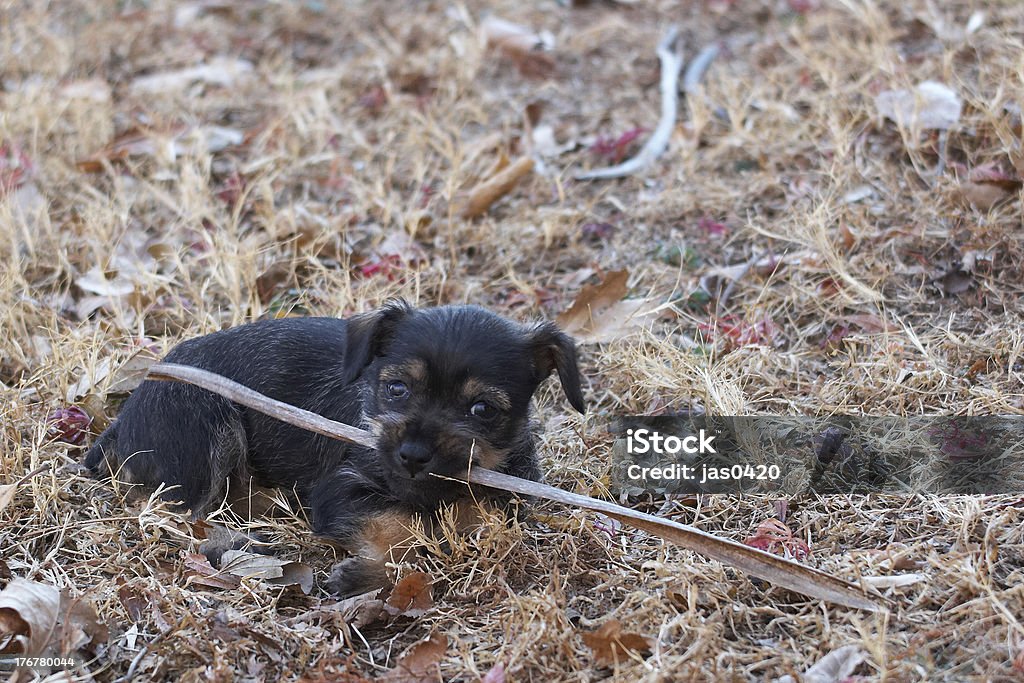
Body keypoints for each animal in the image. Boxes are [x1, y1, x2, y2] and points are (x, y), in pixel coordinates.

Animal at [81, 301, 585, 593]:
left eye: (482, 409)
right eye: (396, 389)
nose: (412, 456)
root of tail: (125, 415)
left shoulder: (511, 494)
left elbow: (478, 518)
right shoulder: (341, 487)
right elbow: (397, 523)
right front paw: (369, 571)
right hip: (205, 425)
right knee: (169, 513)